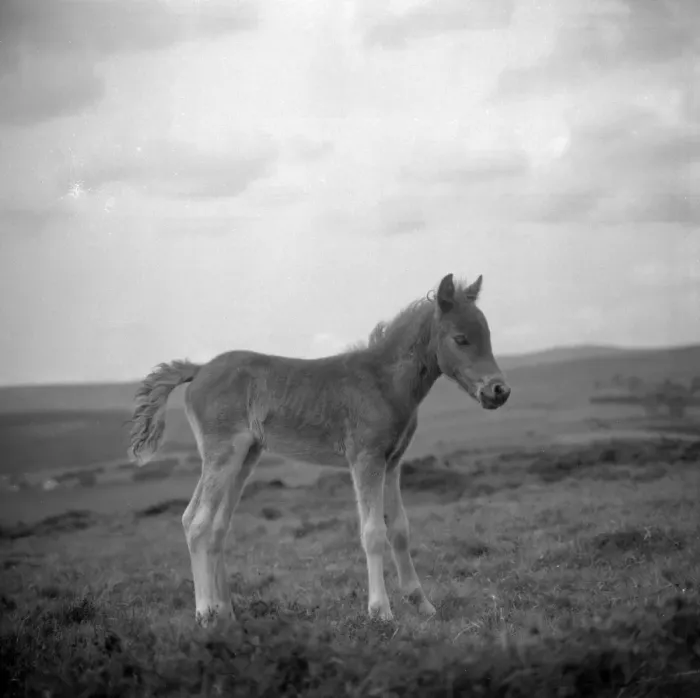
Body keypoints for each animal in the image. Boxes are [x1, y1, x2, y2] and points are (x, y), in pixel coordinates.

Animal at [128, 272, 511, 627]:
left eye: (488, 336)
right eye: (460, 338)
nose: (499, 391)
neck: (383, 382)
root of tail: (198, 369)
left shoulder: (392, 463)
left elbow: (400, 529)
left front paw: (423, 604)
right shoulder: (365, 459)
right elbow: (373, 532)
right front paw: (380, 611)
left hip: (245, 456)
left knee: (218, 526)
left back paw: (227, 613)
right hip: (222, 453)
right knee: (196, 521)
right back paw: (205, 613)